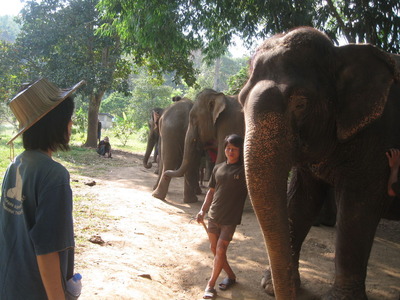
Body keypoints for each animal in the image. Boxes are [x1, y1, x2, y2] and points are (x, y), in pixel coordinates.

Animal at [238, 27, 400, 298]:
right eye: (241, 101)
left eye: (301, 104)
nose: (284, 293)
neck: (339, 53)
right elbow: (300, 202)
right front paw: (272, 285)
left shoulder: (378, 141)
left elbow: (356, 212)